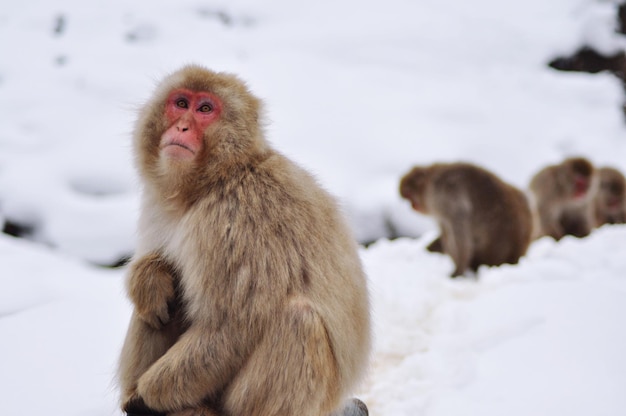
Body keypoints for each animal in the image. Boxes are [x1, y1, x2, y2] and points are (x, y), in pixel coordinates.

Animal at [116, 66, 370, 416]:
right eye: (181, 103)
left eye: (205, 109)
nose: (181, 126)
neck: (218, 178)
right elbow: (157, 272)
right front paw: (148, 277)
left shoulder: (235, 220)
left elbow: (230, 328)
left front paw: (147, 396)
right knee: (160, 301)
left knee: (299, 320)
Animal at [398, 162, 528, 276]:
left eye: (409, 195)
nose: (412, 206)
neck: (432, 183)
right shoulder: (440, 212)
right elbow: (445, 230)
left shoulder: (447, 196)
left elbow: (460, 235)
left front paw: (458, 270)